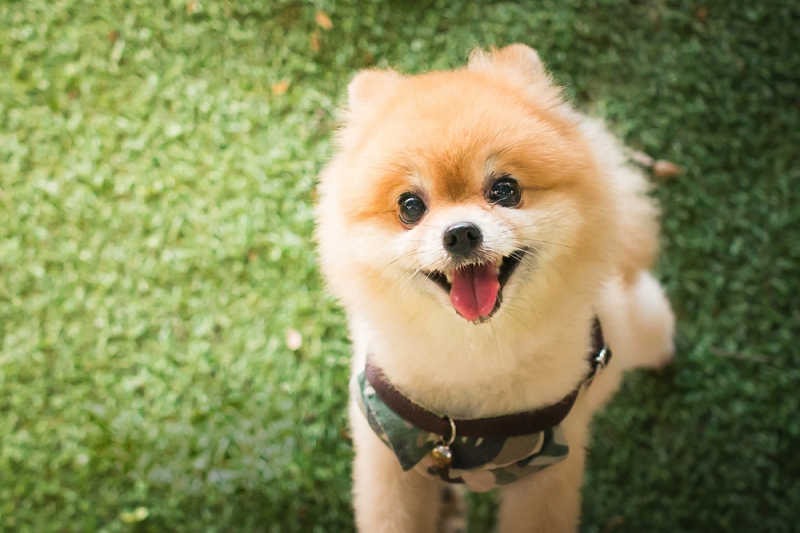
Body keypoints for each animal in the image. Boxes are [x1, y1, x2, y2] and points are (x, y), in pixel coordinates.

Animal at [312, 43, 676, 528]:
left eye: (505, 190)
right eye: (410, 207)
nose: (461, 233)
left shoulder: (547, 470)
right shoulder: (389, 452)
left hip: (641, 323)